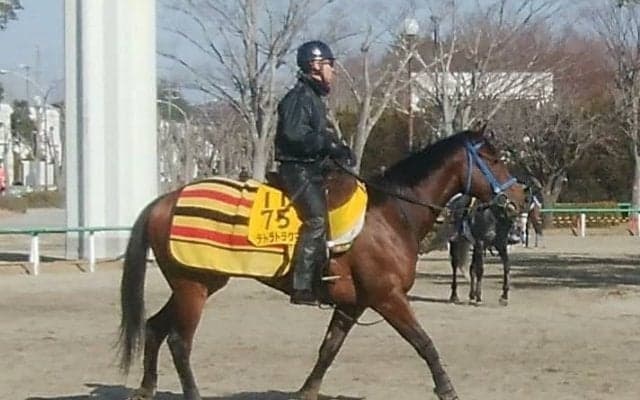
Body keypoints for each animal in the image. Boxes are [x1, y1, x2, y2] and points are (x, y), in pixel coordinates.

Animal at [117, 127, 525, 400]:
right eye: (494, 159)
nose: (520, 197)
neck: (392, 213)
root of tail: (165, 200)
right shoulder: (387, 297)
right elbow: (423, 342)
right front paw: (446, 388)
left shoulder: (352, 303)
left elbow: (329, 349)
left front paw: (307, 391)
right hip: (195, 287)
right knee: (178, 341)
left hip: (195, 285)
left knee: (154, 327)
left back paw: (145, 389)